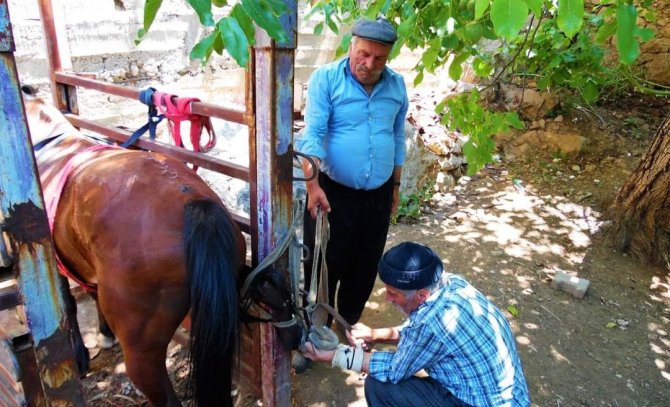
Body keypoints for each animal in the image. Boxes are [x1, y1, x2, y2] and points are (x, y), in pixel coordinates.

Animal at [22, 87, 304, 406]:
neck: (51, 145)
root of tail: (192, 203)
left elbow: (67, 305)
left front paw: (81, 355)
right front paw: (103, 335)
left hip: (142, 353)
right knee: (268, 287)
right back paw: (290, 331)